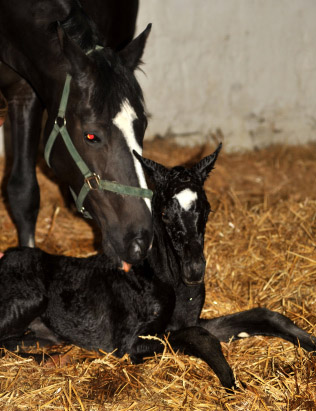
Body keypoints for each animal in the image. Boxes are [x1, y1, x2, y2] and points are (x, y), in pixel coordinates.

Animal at [0, 143, 314, 392]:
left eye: (207, 208)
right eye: (164, 213)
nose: (194, 271)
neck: (167, 280)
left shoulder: (189, 320)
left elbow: (263, 316)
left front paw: (309, 341)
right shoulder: (130, 343)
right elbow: (200, 337)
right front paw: (232, 383)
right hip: (30, 299)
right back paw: (56, 358)